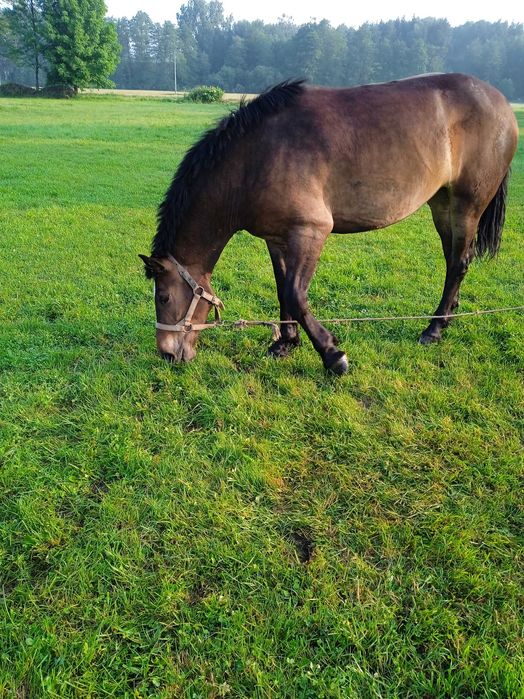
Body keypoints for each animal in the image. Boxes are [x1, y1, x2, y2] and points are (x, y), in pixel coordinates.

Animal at [140, 74, 520, 374]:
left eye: (164, 297)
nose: (167, 355)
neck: (256, 157)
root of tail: (500, 101)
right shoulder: (277, 238)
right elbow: (282, 289)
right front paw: (285, 343)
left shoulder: (311, 232)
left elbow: (296, 294)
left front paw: (332, 355)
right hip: (442, 205)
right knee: (454, 261)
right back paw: (448, 313)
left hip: (466, 206)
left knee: (459, 263)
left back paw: (434, 329)